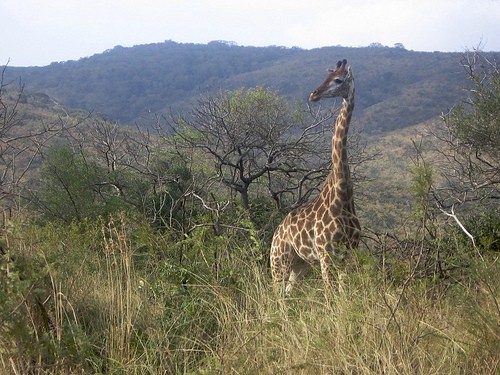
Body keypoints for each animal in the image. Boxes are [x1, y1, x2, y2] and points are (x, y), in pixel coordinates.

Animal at [270, 59, 360, 294]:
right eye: (325, 76)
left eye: (338, 80)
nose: (313, 94)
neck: (343, 194)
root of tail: (276, 233)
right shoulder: (326, 254)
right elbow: (330, 296)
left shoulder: (350, 253)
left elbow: (344, 295)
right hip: (279, 262)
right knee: (275, 296)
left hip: (300, 265)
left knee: (287, 293)